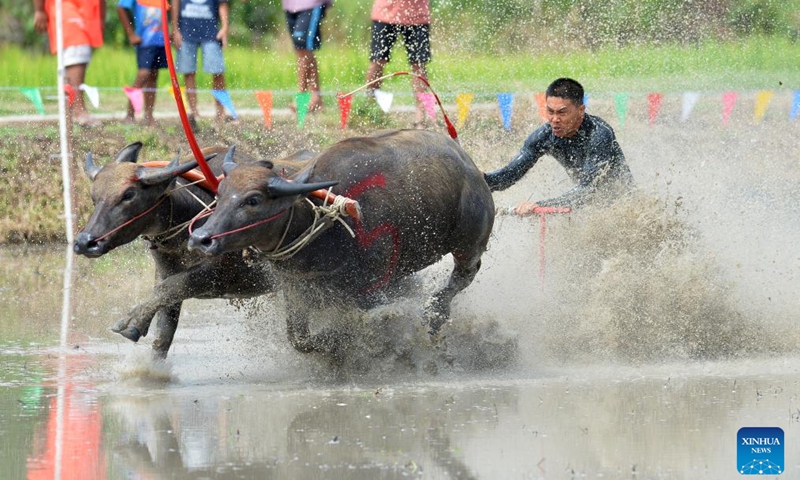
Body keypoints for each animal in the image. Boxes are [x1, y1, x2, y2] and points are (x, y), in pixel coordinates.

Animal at [75, 142, 313, 358]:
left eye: (128, 194)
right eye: (94, 195)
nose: (85, 242)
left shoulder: (220, 276)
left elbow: (170, 288)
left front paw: (130, 321)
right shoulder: (164, 270)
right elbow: (164, 329)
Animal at [188, 129, 495, 354]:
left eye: (253, 200)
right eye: (221, 192)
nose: (201, 239)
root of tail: (474, 171)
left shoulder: (371, 288)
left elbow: (360, 321)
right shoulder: (296, 288)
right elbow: (300, 340)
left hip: (468, 243)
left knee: (464, 274)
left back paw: (436, 313)